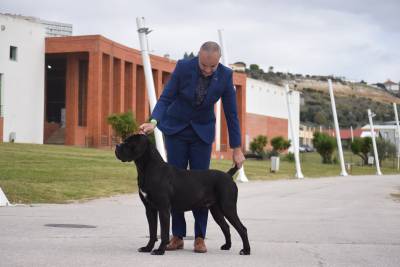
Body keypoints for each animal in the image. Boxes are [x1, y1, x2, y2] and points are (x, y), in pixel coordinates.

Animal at [114, 135, 250, 256]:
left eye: (129, 143)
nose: (117, 146)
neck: (148, 168)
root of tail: (228, 175)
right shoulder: (150, 209)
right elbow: (152, 232)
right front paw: (147, 248)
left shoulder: (163, 209)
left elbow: (163, 233)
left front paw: (160, 251)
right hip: (216, 210)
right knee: (226, 226)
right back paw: (227, 246)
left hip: (228, 207)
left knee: (242, 228)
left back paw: (246, 251)